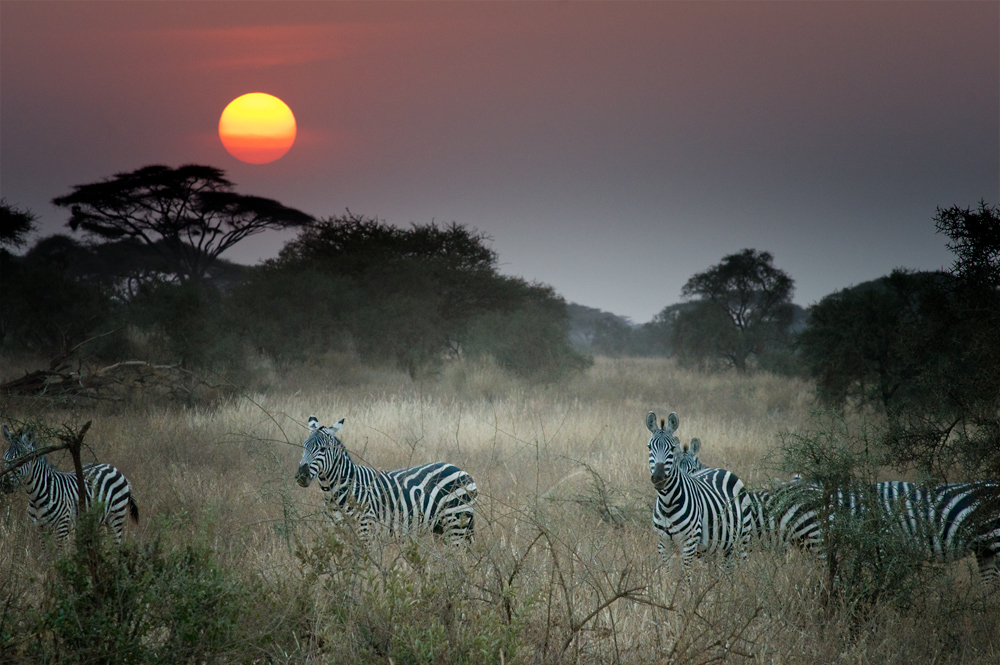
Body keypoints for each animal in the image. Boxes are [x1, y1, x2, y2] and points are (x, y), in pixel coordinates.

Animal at [0, 422, 138, 544]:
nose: (4, 485)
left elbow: (59, 555)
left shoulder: (62, 527)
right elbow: (46, 556)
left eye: (21, 459)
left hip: (116, 516)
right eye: (5, 458)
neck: (37, 496)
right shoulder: (40, 528)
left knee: (116, 544)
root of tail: (114, 468)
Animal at [292, 416, 476, 548]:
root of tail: (461, 470)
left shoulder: (365, 529)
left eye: (322, 449)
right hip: (440, 528)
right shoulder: (337, 531)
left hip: (457, 522)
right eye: (304, 446)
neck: (338, 492)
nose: (301, 475)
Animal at [648, 410, 752, 572]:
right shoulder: (663, 543)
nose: (659, 478)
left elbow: (686, 577)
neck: (667, 503)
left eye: (672, 449)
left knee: (741, 566)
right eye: (649, 447)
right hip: (714, 547)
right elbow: (668, 574)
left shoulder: (689, 543)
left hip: (742, 538)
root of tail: (722, 470)